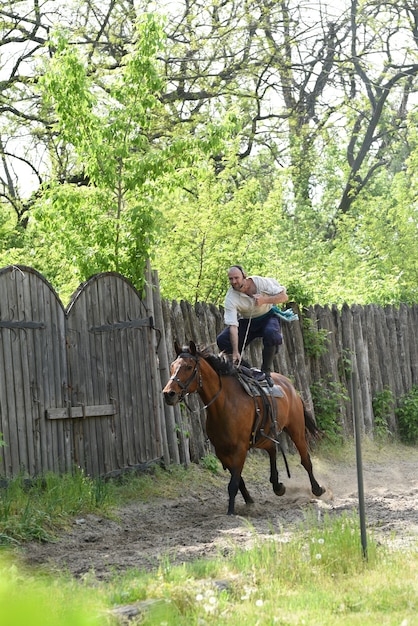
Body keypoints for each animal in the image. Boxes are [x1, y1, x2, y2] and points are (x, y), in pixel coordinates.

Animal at [162, 342, 324, 512]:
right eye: (172, 366)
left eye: (188, 366)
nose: (168, 393)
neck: (224, 403)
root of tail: (291, 387)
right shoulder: (221, 451)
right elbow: (238, 479)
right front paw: (249, 500)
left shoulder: (240, 448)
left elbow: (233, 483)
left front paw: (230, 511)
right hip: (262, 435)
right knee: (272, 448)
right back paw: (277, 485)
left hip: (296, 429)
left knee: (305, 459)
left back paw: (317, 488)